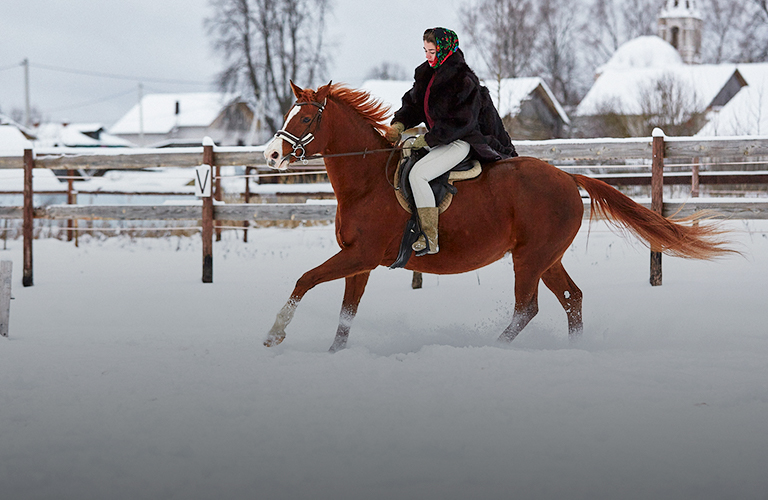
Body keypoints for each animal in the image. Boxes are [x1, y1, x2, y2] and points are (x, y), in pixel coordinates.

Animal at [262, 82, 732, 354]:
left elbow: (304, 280)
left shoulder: (360, 256)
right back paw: (573, 351)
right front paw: (334, 355)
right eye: (289, 115)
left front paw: (274, 335)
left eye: (307, 117)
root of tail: (568, 176)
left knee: (528, 308)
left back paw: (494, 348)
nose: (270, 155)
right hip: (546, 258)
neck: (367, 180)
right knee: (572, 298)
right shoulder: (359, 263)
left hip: (529, 259)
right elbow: (347, 313)